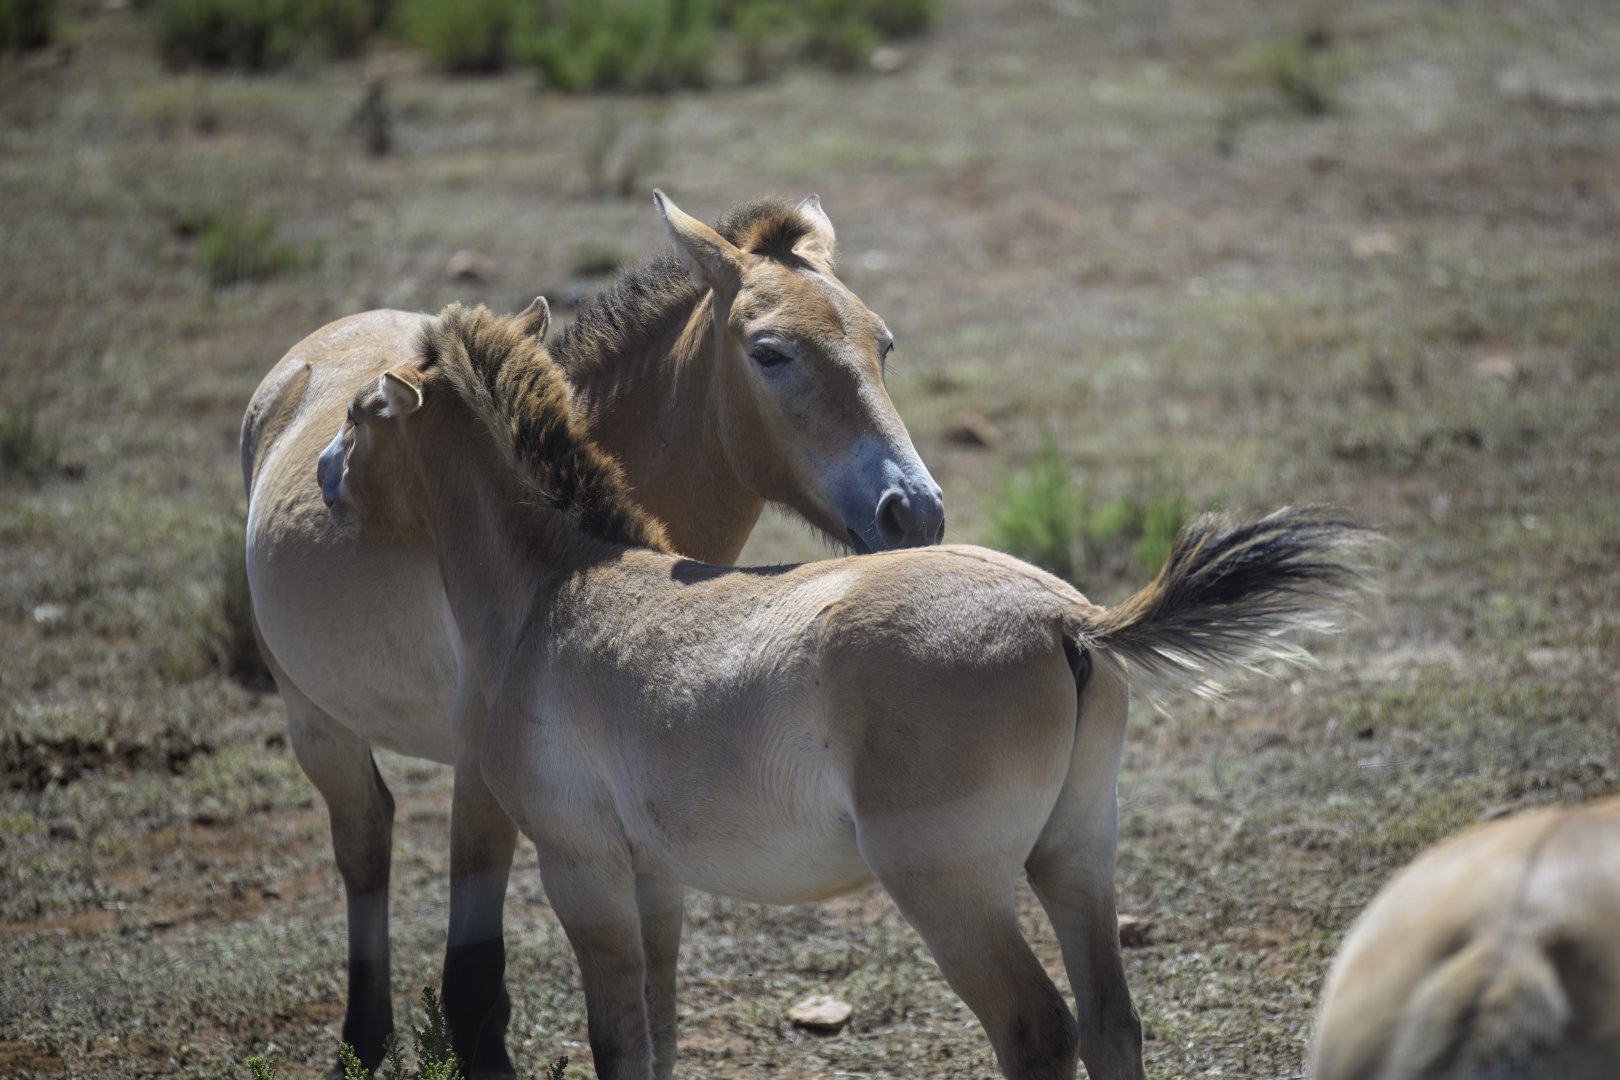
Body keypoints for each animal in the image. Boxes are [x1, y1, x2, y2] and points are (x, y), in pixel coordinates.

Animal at [240, 192, 944, 1074]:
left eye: (883, 344)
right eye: (771, 352)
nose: (914, 512)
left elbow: (651, 983)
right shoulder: (486, 777)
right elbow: (476, 984)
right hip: (316, 720)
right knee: (364, 843)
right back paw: (363, 1042)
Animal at [321, 300, 1371, 1080]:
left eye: (365, 411)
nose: (326, 478)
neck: (557, 591)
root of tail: (1069, 620)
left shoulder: (581, 866)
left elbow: (617, 1042)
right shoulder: (652, 875)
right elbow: (657, 1035)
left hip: (948, 886)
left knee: (1039, 1031)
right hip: (1077, 852)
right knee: (1113, 1024)